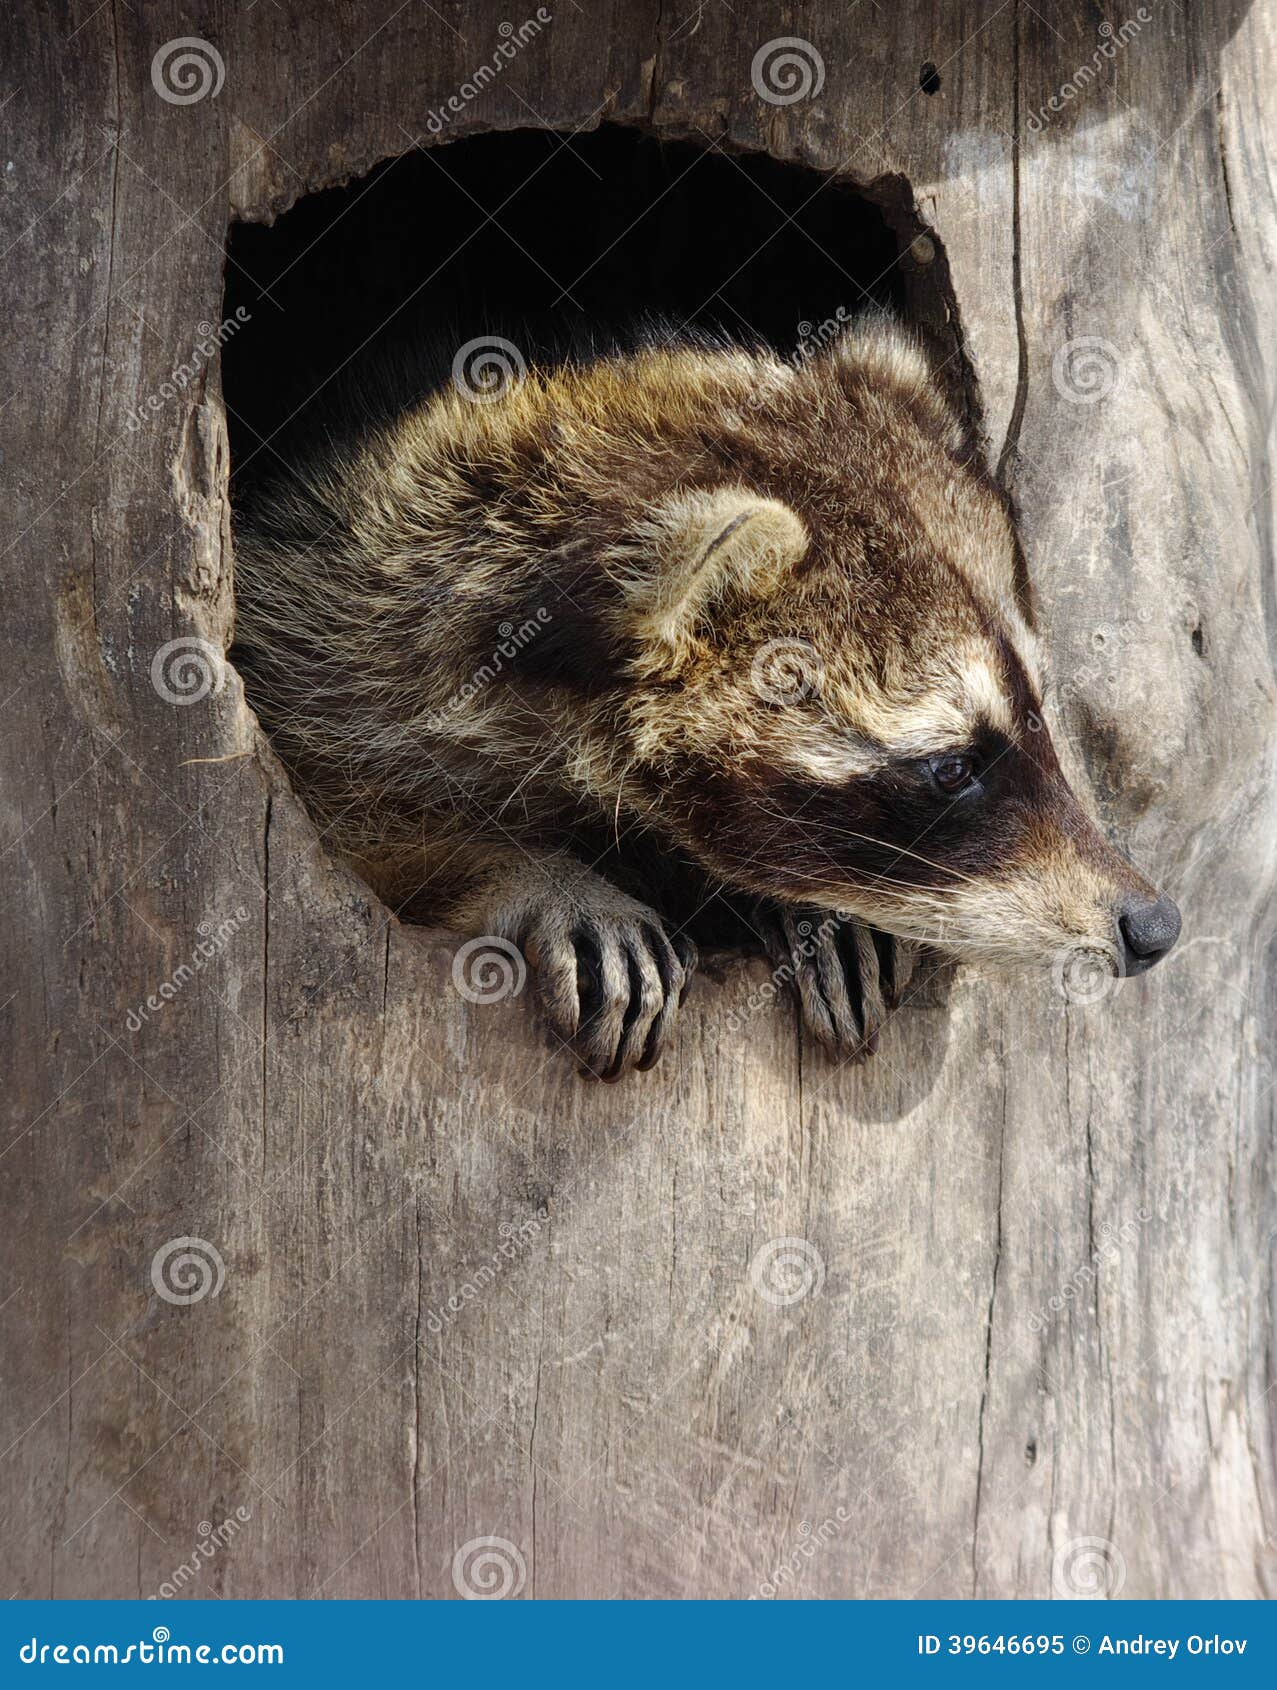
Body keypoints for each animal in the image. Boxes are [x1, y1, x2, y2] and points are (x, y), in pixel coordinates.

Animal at [231, 315, 1180, 1079]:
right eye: (951, 769)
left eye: (1038, 716)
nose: (1151, 924)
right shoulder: (332, 658)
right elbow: (357, 829)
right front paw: (527, 871)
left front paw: (808, 906)